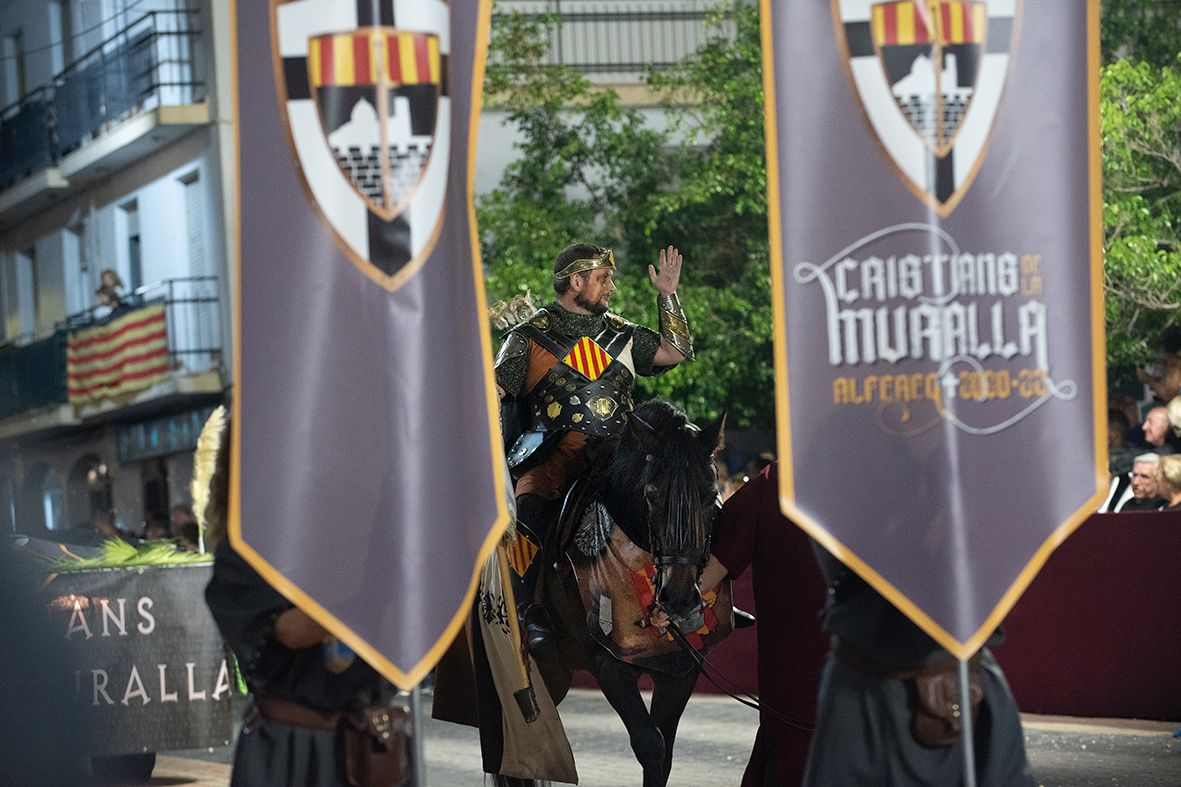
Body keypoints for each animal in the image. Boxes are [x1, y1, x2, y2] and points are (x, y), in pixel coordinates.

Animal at [538, 399, 727, 784]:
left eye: (711, 496)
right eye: (651, 496)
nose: (678, 598)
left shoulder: (680, 670)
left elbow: (664, 754)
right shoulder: (608, 665)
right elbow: (651, 746)